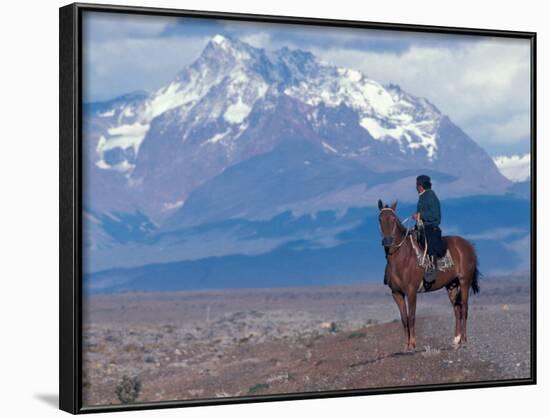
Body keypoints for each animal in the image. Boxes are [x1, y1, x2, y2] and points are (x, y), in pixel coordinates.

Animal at [380, 198, 484, 352]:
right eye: (380, 219)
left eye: (393, 219)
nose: (387, 241)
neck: (401, 258)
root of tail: (467, 245)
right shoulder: (397, 293)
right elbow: (404, 319)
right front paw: (406, 345)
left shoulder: (411, 292)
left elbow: (411, 317)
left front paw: (413, 344)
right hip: (452, 285)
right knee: (457, 309)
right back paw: (456, 340)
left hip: (464, 281)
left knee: (464, 308)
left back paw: (464, 340)